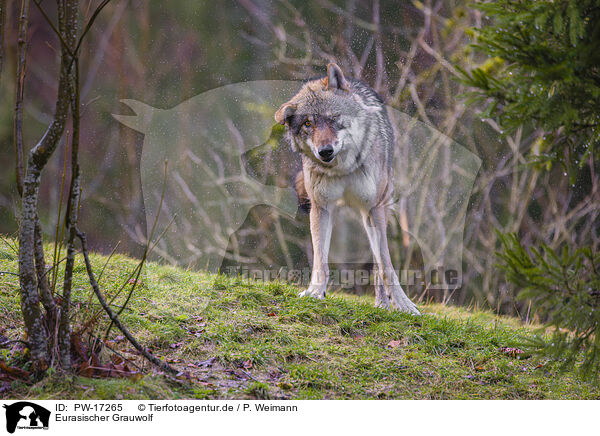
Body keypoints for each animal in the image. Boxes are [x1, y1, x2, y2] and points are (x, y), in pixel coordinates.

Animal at [276, 62, 420, 314]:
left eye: (334, 118)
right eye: (308, 124)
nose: (325, 151)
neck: (342, 168)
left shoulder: (374, 208)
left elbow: (386, 265)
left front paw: (403, 303)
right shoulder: (321, 208)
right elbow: (320, 260)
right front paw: (315, 292)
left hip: (376, 212)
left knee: (378, 262)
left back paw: (382, 304)